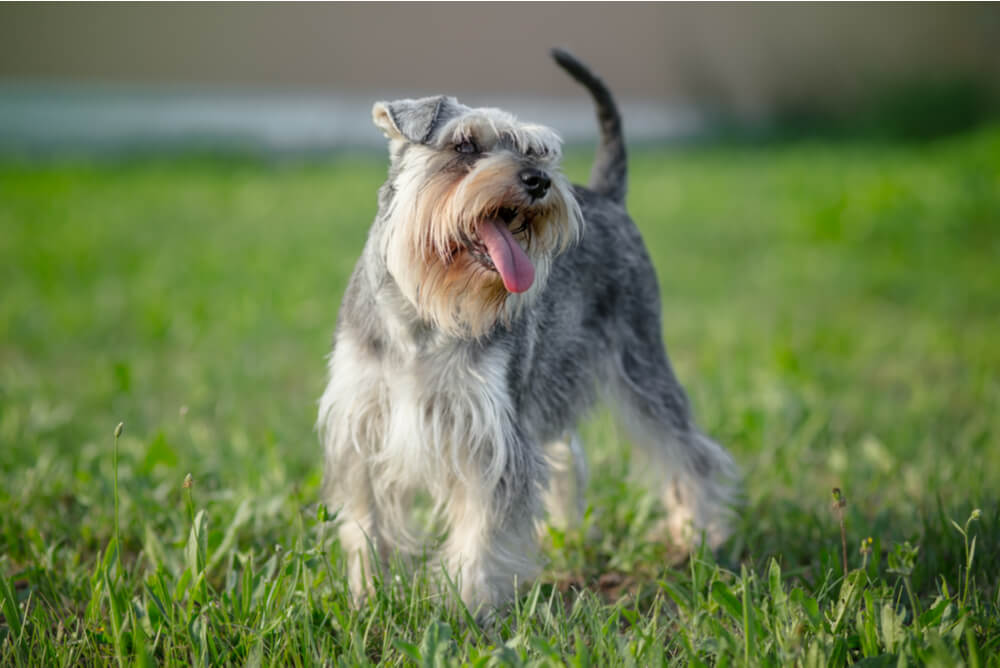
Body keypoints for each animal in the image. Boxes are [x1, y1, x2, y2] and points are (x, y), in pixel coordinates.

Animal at [316, 49, 740, 620]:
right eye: (464, 145)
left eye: (536, 150)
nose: (539, 180)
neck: (423, 315)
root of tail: (608, 195)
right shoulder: (362, 428)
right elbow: (366, 524)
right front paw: (367, 596)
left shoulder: (491, 435)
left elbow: (481, 530)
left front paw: (466, 606)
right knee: (567, 456)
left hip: (641, 364)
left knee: (688, 451)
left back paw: (698, 534)